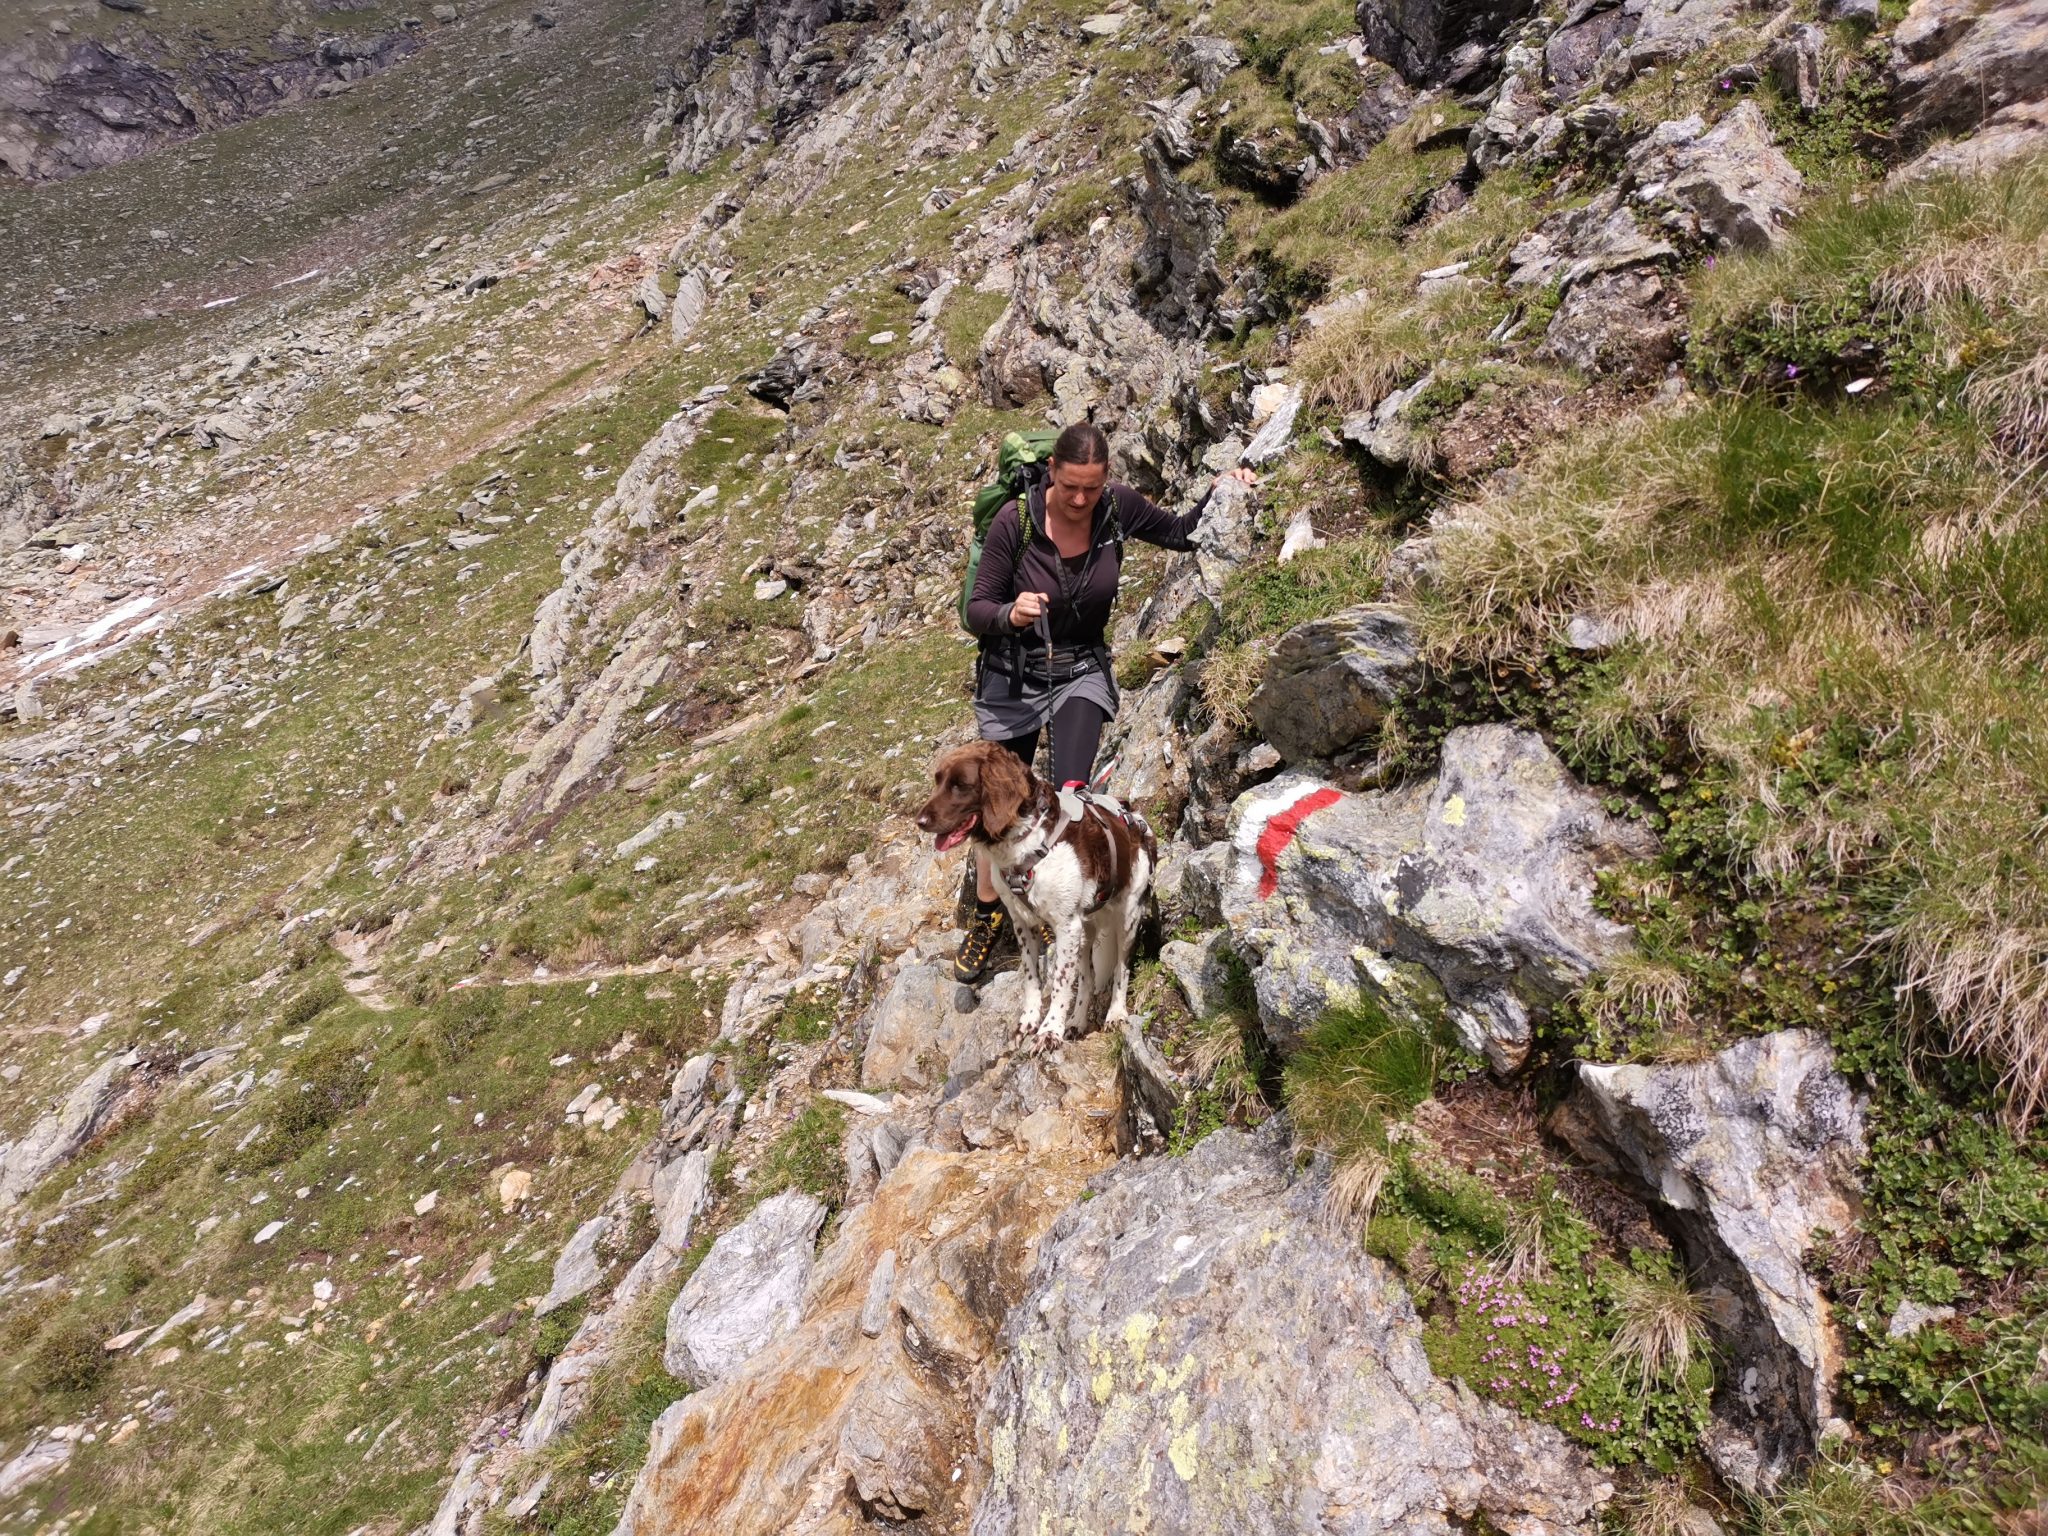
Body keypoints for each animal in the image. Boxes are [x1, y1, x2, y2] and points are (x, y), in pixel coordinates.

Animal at [925, 741, 1163, 1056]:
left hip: (1127, 919)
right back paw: (1076, 1021)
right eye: (938, 781)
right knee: (1086, 978)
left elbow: (1061, 981)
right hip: (1085, 931)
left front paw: (1049, 1032)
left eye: (960, 785)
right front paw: (1028, 1022)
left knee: (1121, 969)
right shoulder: (1024, 922)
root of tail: (1136, 821)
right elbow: (1031, 975)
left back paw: (1115, 1014)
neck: (1026, 840)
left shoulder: (1066, 925)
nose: (920, 820)